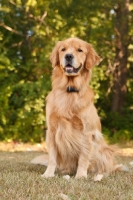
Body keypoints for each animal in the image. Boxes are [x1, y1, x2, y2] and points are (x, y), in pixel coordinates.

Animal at [31, 37, 127, 178]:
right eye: (63, 49)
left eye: (80, 50)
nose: (68, 56)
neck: (69, 90)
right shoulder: (52, 130)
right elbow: (52, 158)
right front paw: (48, 174)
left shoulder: (86, 132)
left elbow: (84, 157)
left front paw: (81, 175)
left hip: (105, 151)